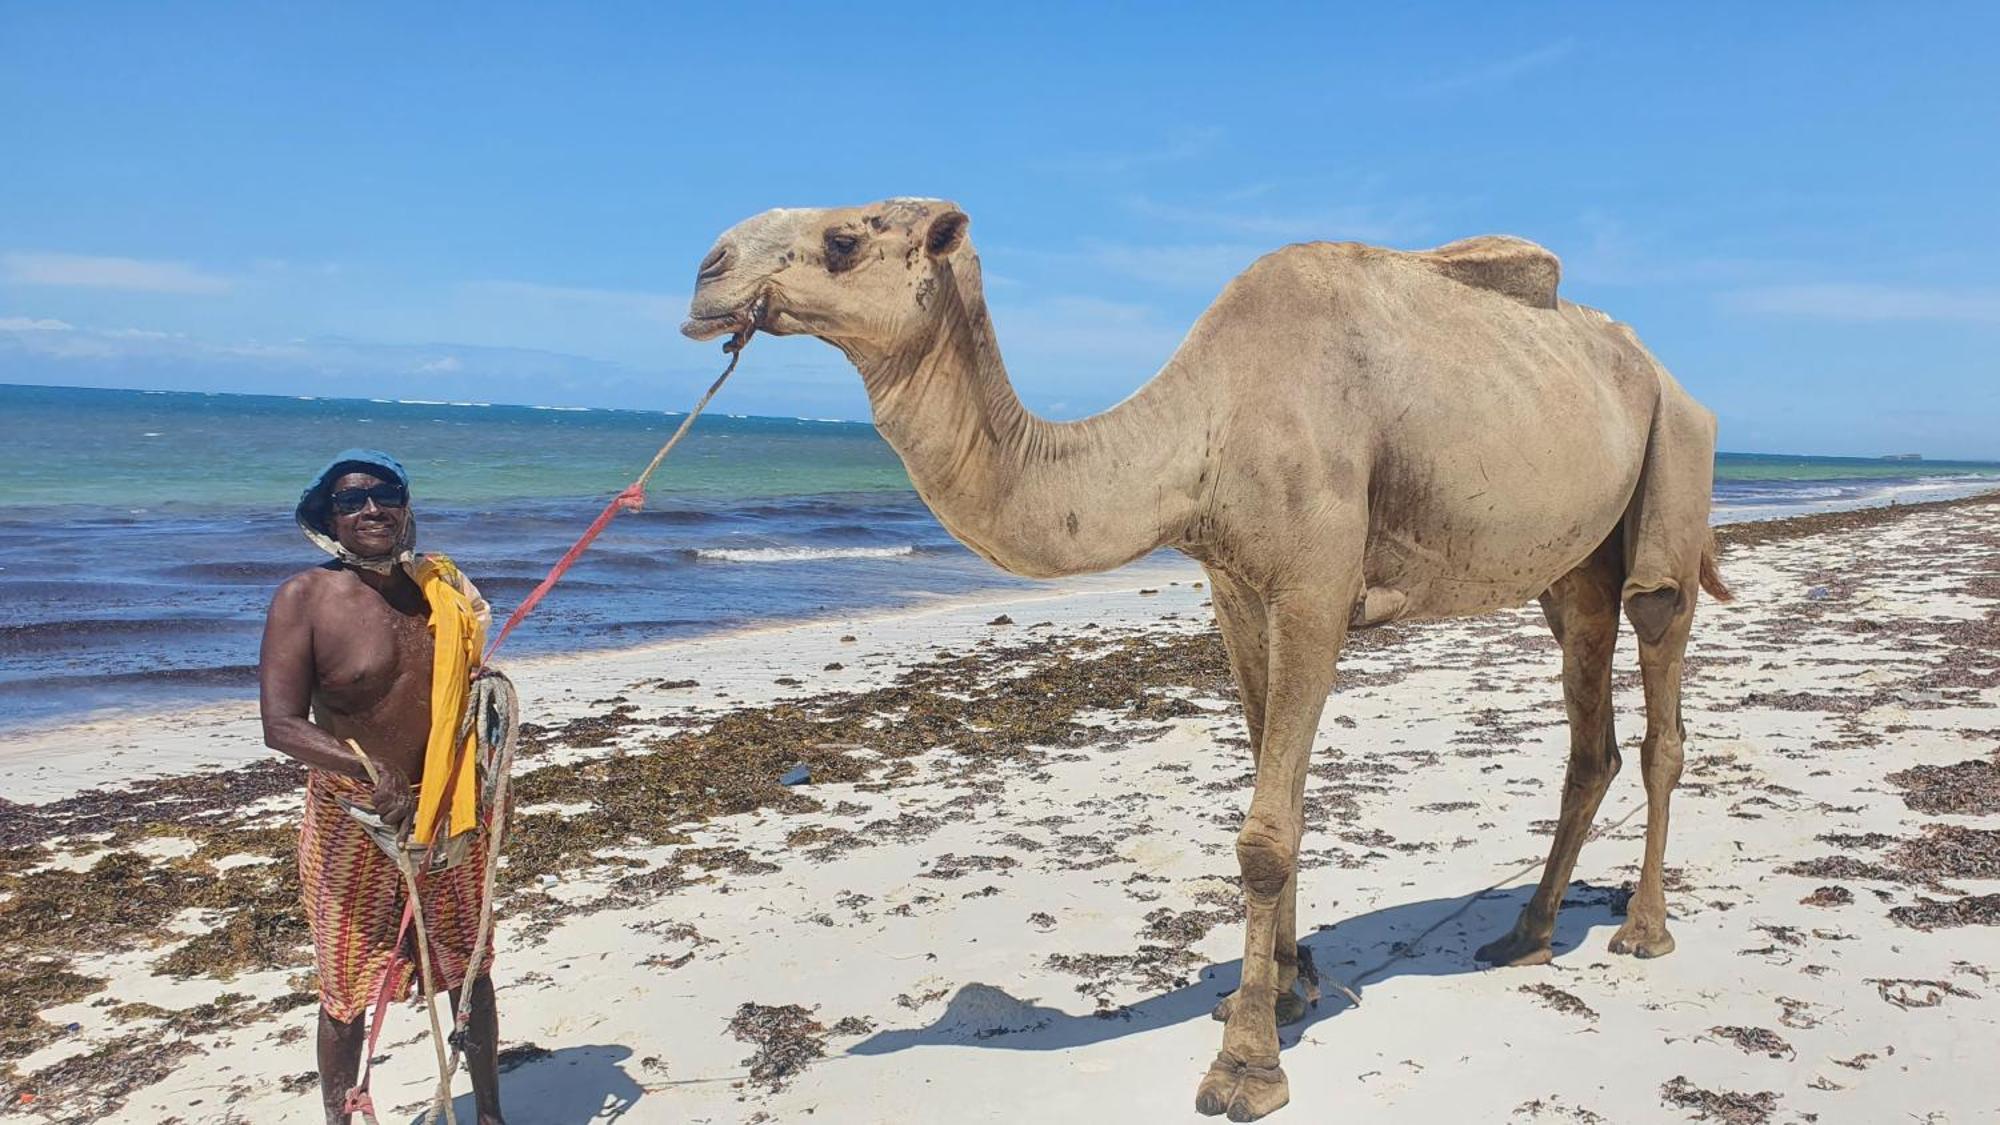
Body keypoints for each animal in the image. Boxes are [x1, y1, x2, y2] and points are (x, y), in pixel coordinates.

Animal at [680, 197, 1728, 1112]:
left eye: (844, 238)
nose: (706, 269)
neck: (1203, 429)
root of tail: (1666, 372)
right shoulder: (1236, 589)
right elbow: (1275, 789)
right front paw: (1284, 990)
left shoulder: (1315, 585)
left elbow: (1266, 833)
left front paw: (1246, 1066)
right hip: (1571, 563)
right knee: (1587, 722)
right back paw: (1526, 934)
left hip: (1676, 456)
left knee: (1660, 679)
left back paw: (1643, 929)